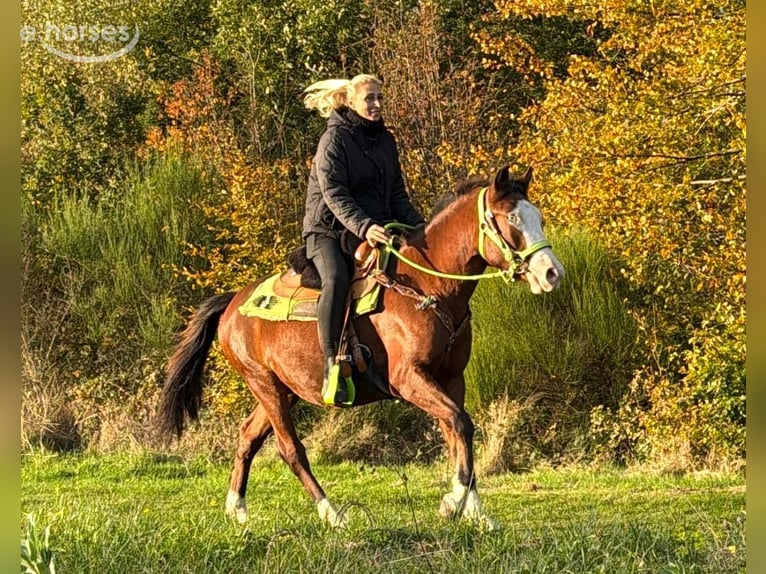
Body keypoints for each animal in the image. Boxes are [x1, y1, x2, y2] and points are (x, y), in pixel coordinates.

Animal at [157, 165, 564, 530]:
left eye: (538, 217)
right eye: (511, 218)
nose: (551, 273)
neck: (427, 288)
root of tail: (232, 303)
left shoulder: (451, 379)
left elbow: (455, 431)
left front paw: (475, 511)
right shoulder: (408, 378)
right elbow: (461, 424)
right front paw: (453, 503)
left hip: (284, 390)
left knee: (248, 436)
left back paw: (237, 509)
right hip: (264, 383)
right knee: (291, 450)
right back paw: (332, 514)